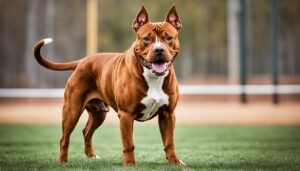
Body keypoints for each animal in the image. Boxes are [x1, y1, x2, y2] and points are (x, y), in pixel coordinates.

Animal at [32, 5, 183, 166]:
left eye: (169, 38)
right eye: (146, 38)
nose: (159, 50)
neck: (153, 77)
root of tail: (82, 61)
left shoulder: (168, 114)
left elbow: (169, 142)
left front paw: (175, 162)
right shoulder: (126, 115)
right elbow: (129, 143)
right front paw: (130, 164)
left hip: (99, 113)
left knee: (86, 132)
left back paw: (92, 156)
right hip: (71, 111)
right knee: (64, 139)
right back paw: (62, 161)